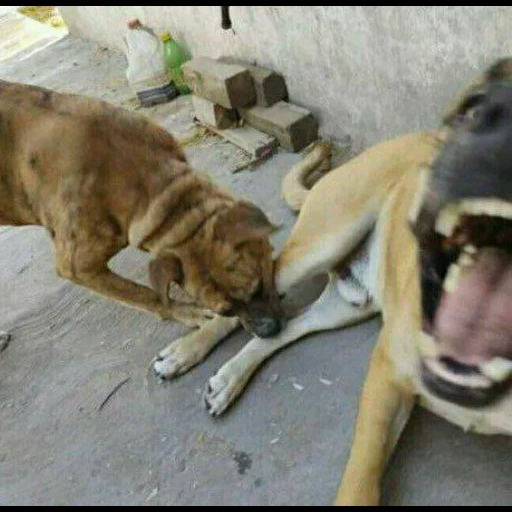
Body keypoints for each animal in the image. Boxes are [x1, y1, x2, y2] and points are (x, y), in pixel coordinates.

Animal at [0, 81, 282, 360]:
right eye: (226, 311)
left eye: (258, 288)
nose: (267, 332)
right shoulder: (77, 267)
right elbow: (145, 294)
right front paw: (185, 312)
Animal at [157, 58, 512, 506]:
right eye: (472, 108)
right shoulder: (386, 373)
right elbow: (361, 480)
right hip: (322, 242)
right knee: (258, 291)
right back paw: (186, 350)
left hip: (347, 305)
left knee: (285, 325)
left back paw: (228, 379)